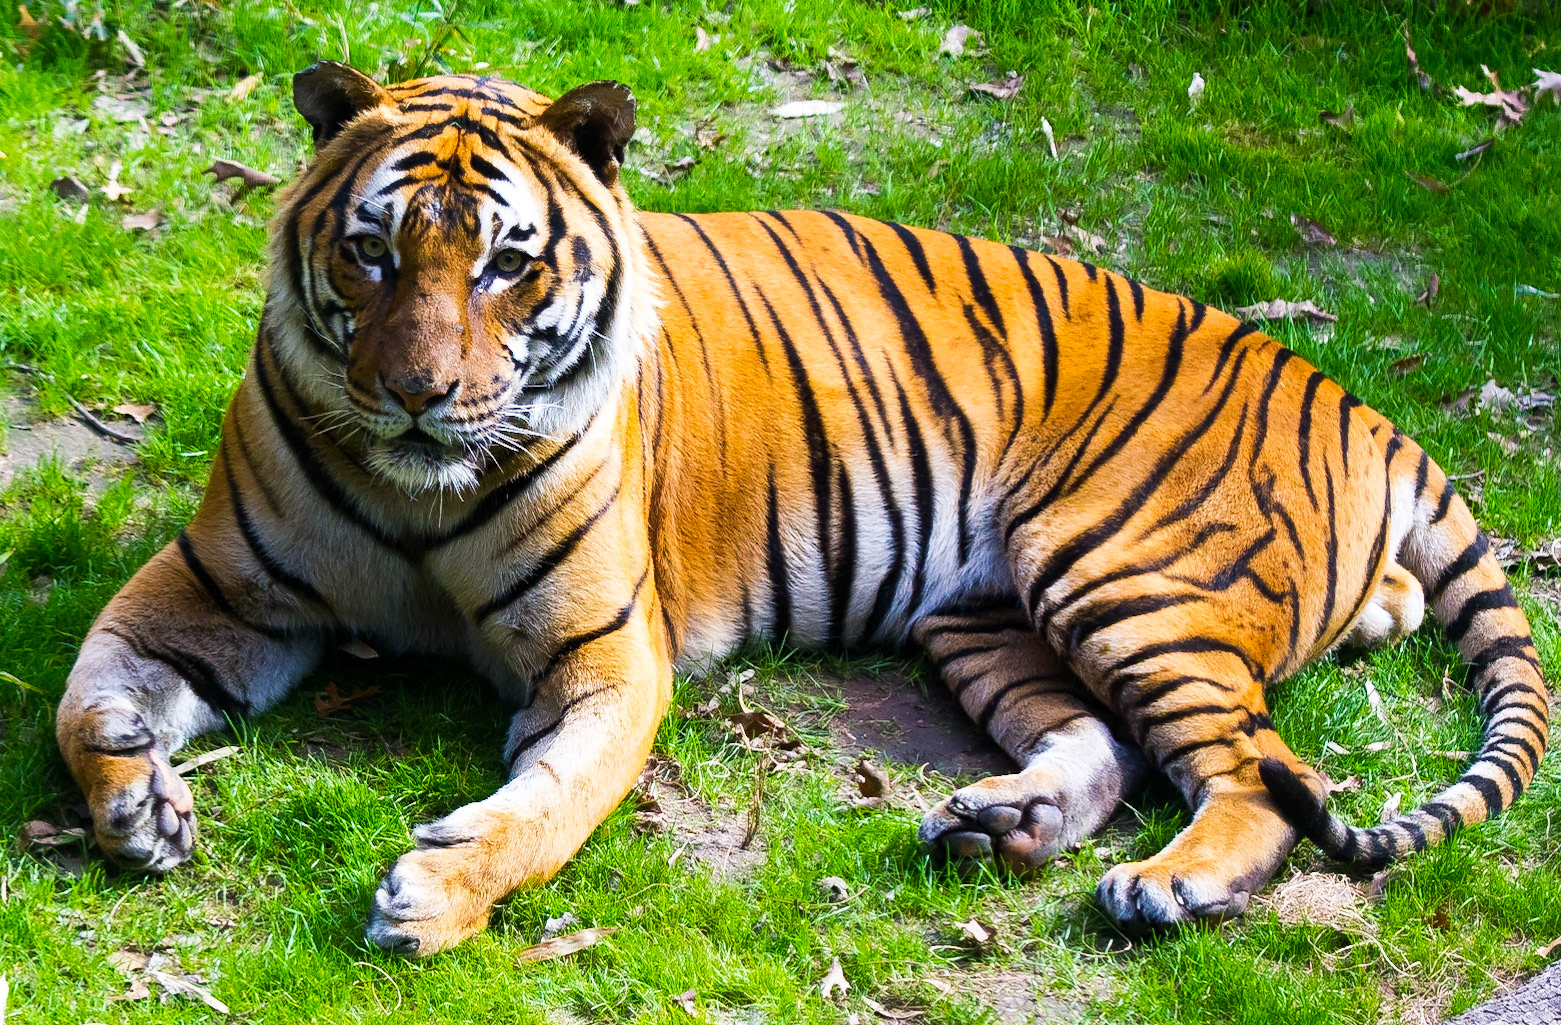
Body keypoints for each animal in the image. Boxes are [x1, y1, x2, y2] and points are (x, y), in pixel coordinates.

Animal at [53, 63, 1549, 958]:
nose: (419, 396)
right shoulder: (217, 585)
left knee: (1257, 771)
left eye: (505, 267)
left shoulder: (605, 657)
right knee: (1113, 746)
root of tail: (1344, 393)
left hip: (1128, 575)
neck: (415, 489)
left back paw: (1167, 884)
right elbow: (87, 697)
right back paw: (999, 824)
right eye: (370, 255)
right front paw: (139, 808)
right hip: (991, 619)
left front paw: (434, 893)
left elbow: (548, 805)